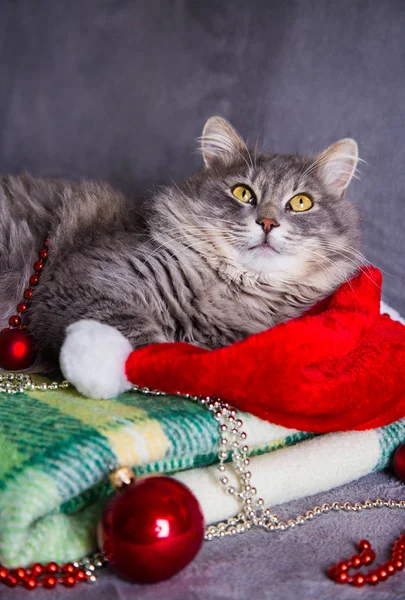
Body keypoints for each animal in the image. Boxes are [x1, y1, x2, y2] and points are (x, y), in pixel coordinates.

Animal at [0, 118, 360, 394]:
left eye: (301, 202)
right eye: (243, 193)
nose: (268, 223)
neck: (234, 288)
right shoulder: (83, 282)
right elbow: (145, 341)